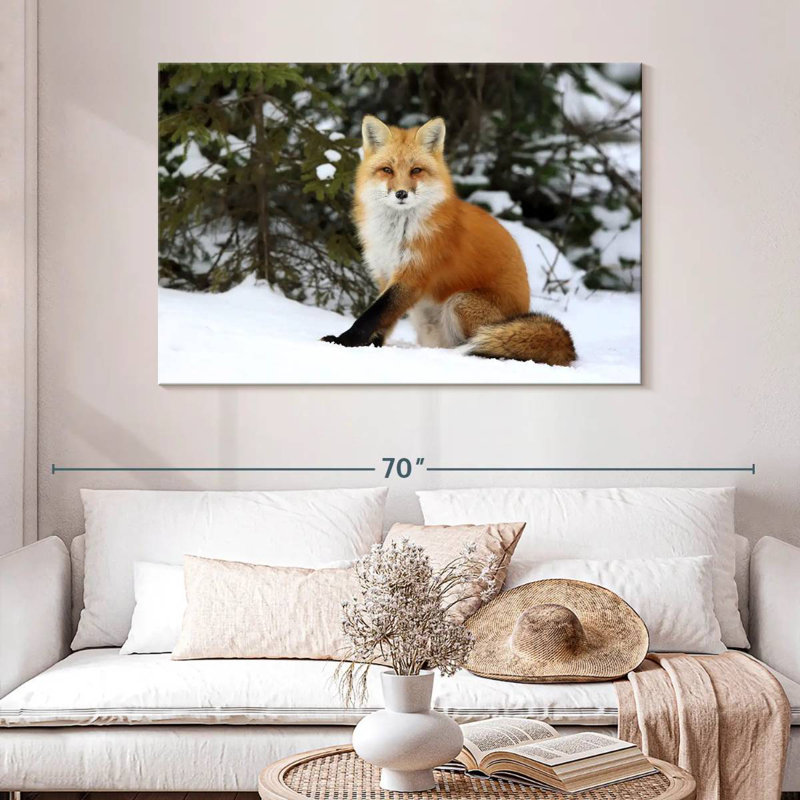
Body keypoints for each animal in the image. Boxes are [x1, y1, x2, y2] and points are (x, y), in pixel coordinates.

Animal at [321, 115, 576, 366]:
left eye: (416, 170)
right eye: (387, 170)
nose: (401, 193)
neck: (397, 232)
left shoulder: (414, 274)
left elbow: (372, 315)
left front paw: (343, 341)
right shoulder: (386, 273)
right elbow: (384, 318)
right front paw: (371, 346)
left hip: (460, 301)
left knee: (481, 343)